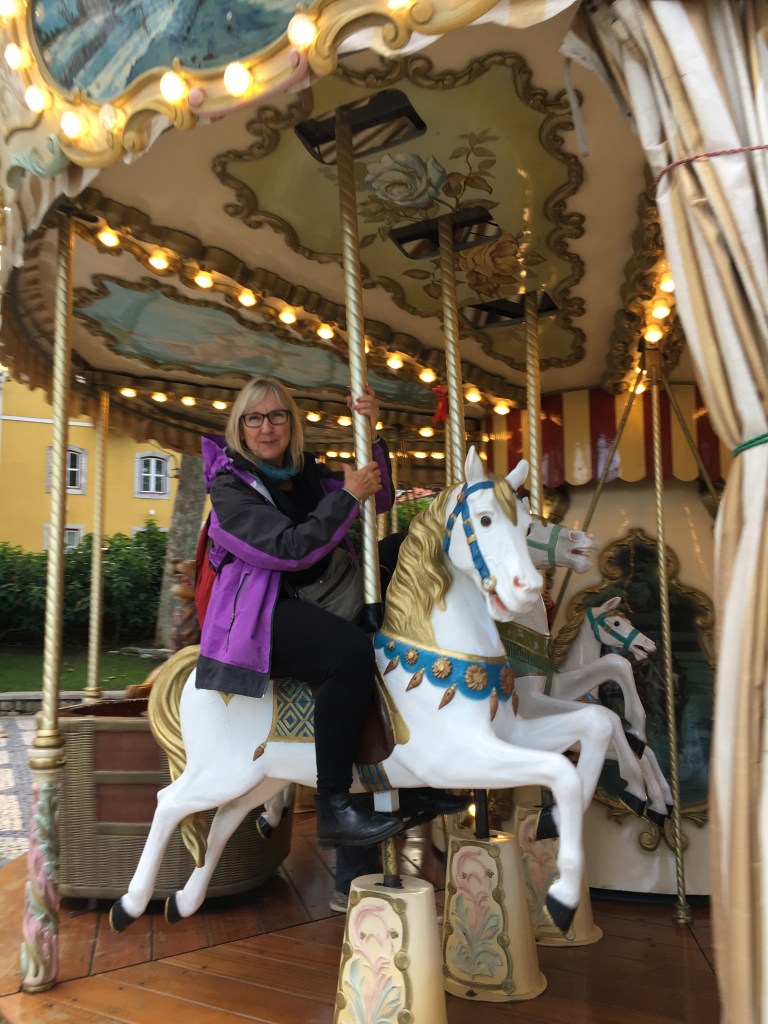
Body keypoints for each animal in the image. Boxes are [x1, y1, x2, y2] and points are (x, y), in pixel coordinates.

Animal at [110, 448, 588, 935]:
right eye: (486, 519)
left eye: (526, 527)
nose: (526, 590)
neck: (442, 653)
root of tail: (196, 670)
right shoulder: (454, 757)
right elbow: (560, 770)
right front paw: (563, 897)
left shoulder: (510, 734)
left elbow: (594, 727)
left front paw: (555, 824)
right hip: (219, 770)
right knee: (169, 803)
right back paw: (129, 904)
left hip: (261, 774)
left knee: (225, 818)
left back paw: (184, 901)